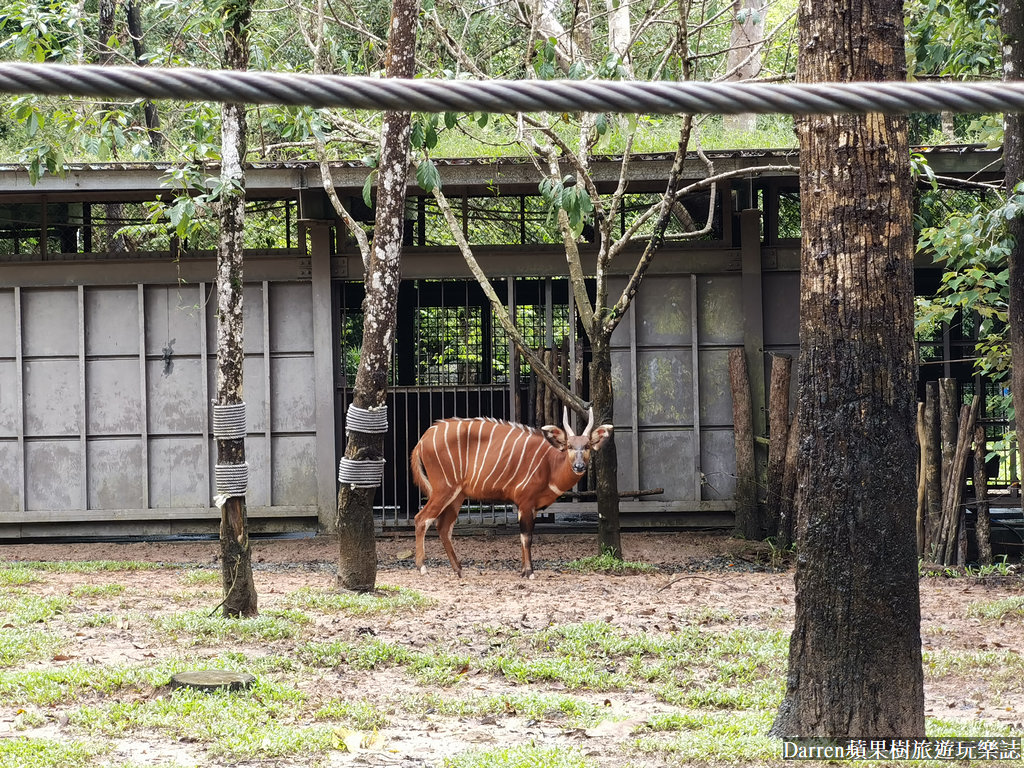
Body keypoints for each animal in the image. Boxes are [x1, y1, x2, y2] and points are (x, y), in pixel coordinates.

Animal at [410, 406, 613, 578]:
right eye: (569, 446)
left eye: (587, 446)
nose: (579, 466)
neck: (550, 464)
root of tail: (422, 440)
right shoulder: (525, 501)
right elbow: (526, 537)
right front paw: (529, 572)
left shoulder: (531, 506)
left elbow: (526, 536)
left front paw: (523, 571)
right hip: (444, 488)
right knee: (421, 519)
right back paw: (422, 567)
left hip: (457, 495)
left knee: (443, 527)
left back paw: (458, 570)